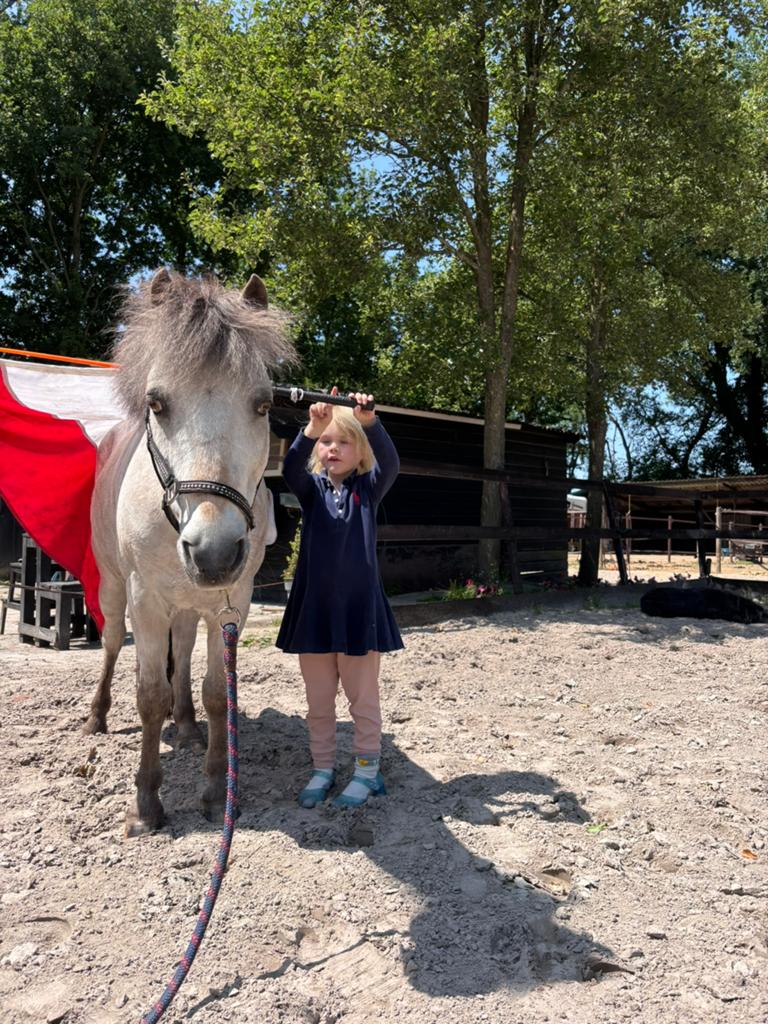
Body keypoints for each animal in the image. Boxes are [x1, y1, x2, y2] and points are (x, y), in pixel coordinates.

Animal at [83, 268, 296, 836]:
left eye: (263, 405)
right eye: (157, 403)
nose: (214, 551)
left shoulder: (232, 602)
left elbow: (218, 695)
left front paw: (217, 790)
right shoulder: (146, 602)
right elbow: (149, 694)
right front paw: (146, 803)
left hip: (190, 601)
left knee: (182, 653)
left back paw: (187, 728)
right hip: (114, 589)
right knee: (110, 646)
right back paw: (97, 716)